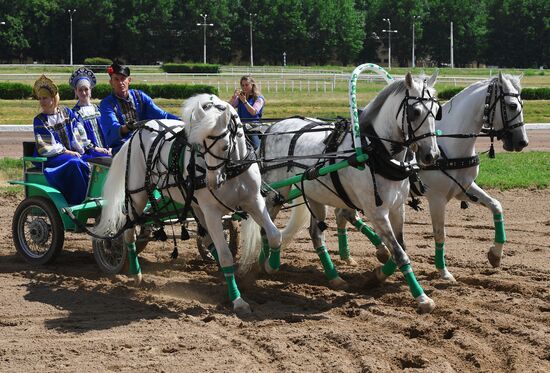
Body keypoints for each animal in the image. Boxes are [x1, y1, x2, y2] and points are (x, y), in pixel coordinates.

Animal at [94, 93, 280, 314]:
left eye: (225, 146)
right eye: (200, 145)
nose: (212, 182)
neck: (231, 170)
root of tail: (136, 132)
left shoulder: (254, 201)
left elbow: (274, 234)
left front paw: (270, 265)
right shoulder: (212, 211)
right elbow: (226, 255)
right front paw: (238, 301)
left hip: (196, 206)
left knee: (207, 240)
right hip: (137, 197)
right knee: (129, 233)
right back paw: (135, 273)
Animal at [244, 71, 442, 312]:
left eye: (437, 110)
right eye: (415, 112)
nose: (431, 155)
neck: (374, 151)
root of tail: (273, 127)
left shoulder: (397, 209)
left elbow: (400, 248)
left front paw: (375, 276)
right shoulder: (377, 212)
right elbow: (399, 253)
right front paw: (422, 298)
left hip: (314, 195)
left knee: (315, 234)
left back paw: (334, 278)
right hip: (276, 192)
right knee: (267, 227)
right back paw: (267, 264)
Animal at [294, 72, 532, 282]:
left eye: (522, 103)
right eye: (512, 105)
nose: (522, 142)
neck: (449, 146)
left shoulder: (463, 188)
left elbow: (496, 206)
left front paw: (495, 254)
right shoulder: (436, 198)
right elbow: (439, 234)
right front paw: (443, 272)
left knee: (343, 214)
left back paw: (355, 254)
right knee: (345, 215)